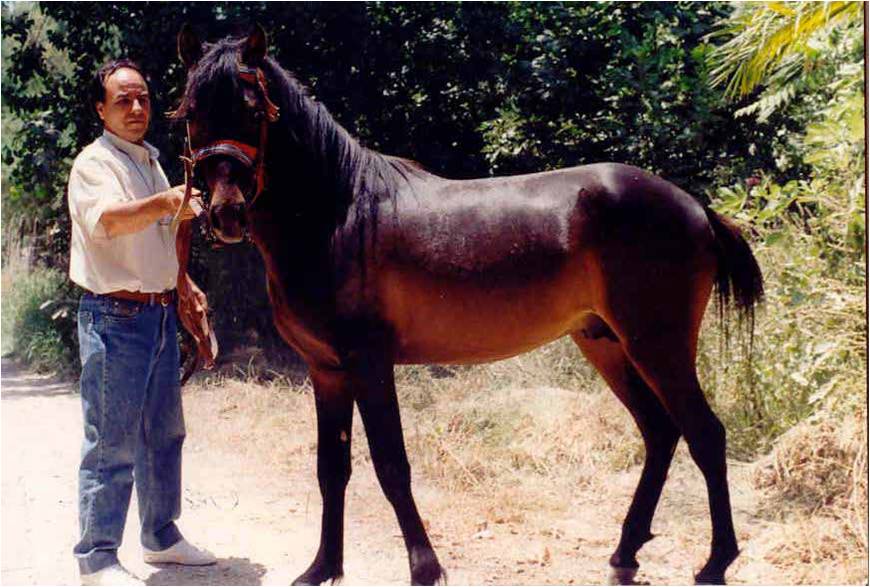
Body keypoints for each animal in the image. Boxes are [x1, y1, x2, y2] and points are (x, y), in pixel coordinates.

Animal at [175, 27, 764, 587]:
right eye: (192, 111)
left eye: (254, 110)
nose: (226, 214)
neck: (339, 213)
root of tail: (694, 207)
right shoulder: (326, 370)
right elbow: (331, 468)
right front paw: (322, 568)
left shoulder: (369, 363)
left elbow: (391, 465)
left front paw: (424, 568)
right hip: (606, 344)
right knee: (661, 432)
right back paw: (625, 554)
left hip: (657, 345)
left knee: (705, 434)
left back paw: (715, 562)